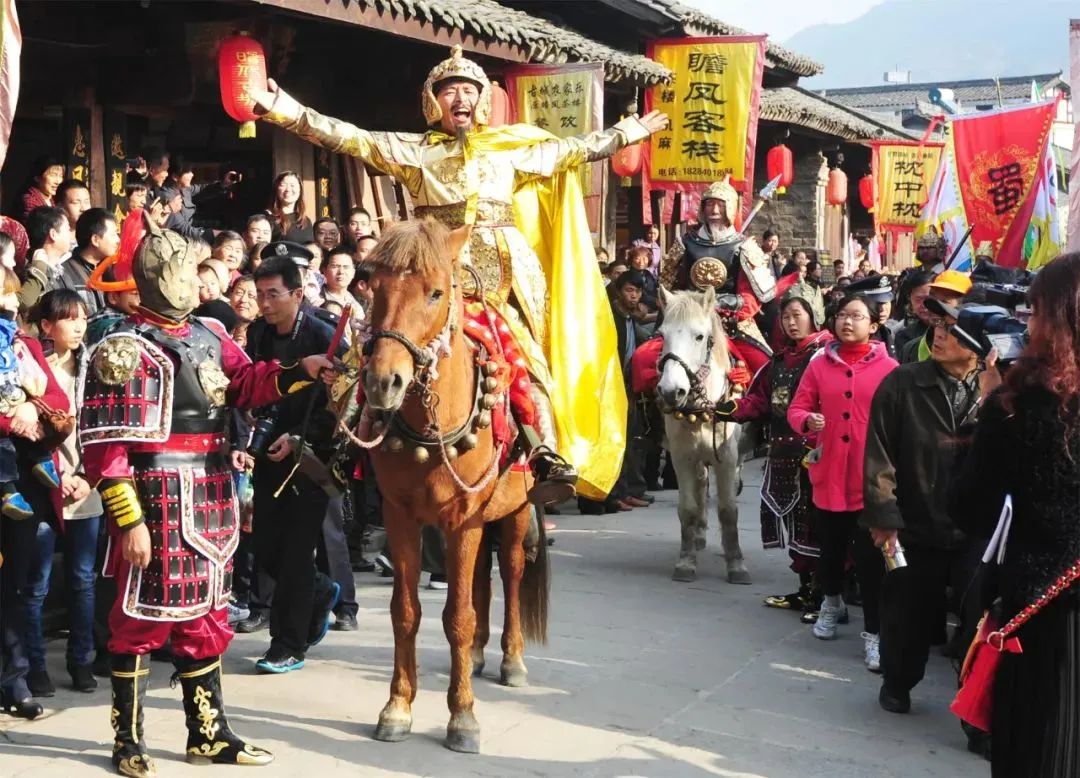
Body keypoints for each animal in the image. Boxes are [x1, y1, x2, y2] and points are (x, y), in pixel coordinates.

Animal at [356, 220, 548, 754]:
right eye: (370, 284)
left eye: (435, 292)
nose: (383, 382)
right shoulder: (401, 513)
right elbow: (406, 611)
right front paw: (397, 707)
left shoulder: (464, 518)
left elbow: (457, 617)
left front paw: (462, 717)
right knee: (481, 576)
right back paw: (479, 655)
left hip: (513, 511)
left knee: (511, 572)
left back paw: (510, 660)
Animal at [655, 286, 751, 585]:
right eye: (662, 334)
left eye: (699, 336)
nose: (670, 391)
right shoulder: (682, 456)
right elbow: (687, 508)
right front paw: (686, 562)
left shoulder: (727, 458)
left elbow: (728, 510)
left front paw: (737, 565)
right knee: (700, 489)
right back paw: (697, 536)